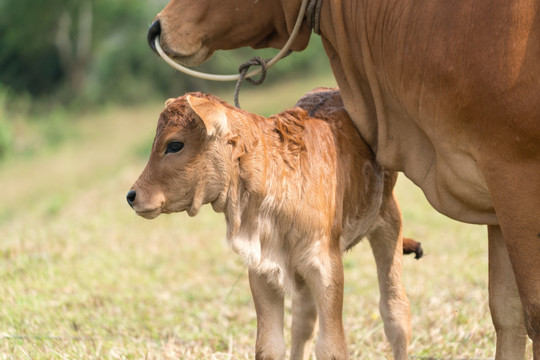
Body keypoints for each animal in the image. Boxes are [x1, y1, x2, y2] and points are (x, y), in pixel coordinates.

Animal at [129, 88, 420, 360]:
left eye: (174, 144)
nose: (131, 196)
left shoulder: (325, 264)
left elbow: (331, 347)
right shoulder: (262, 269)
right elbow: (270, 346)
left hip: (388, 220)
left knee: (395, 311)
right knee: (303, 321)